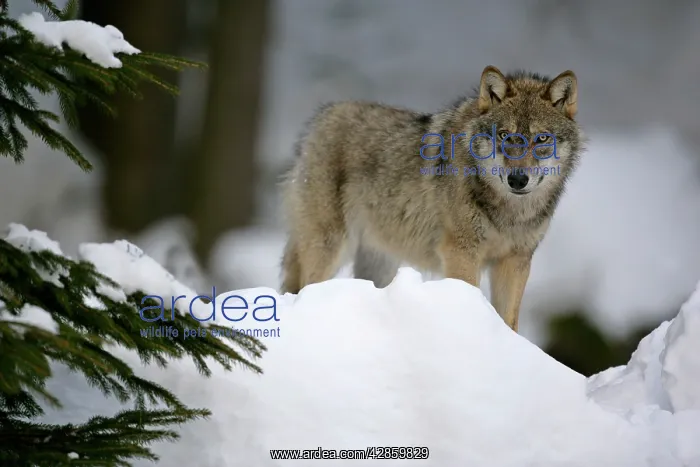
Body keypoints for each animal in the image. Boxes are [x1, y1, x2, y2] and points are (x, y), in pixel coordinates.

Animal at [279, 65, 584, 332]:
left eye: (541, 138)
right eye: (504, 135)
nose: (518, 180)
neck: (509, 211)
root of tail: (320, 118)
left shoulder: (515, 261)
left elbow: (510, 324)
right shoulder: (461, 253)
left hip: (379, 264)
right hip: (330, 248)